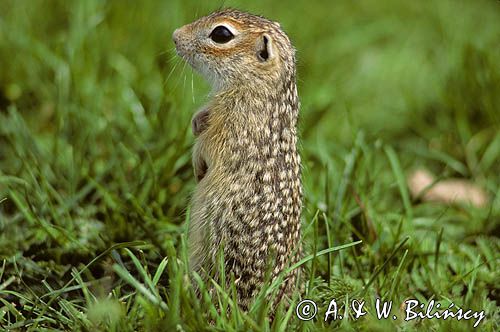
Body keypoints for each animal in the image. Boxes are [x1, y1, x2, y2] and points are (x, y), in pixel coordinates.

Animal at [174, 9, 302, 310]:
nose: (175, 36)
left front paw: (198, 165)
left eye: (221, 34)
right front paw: (196, 121)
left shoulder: (233, 126)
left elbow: (206, 146)